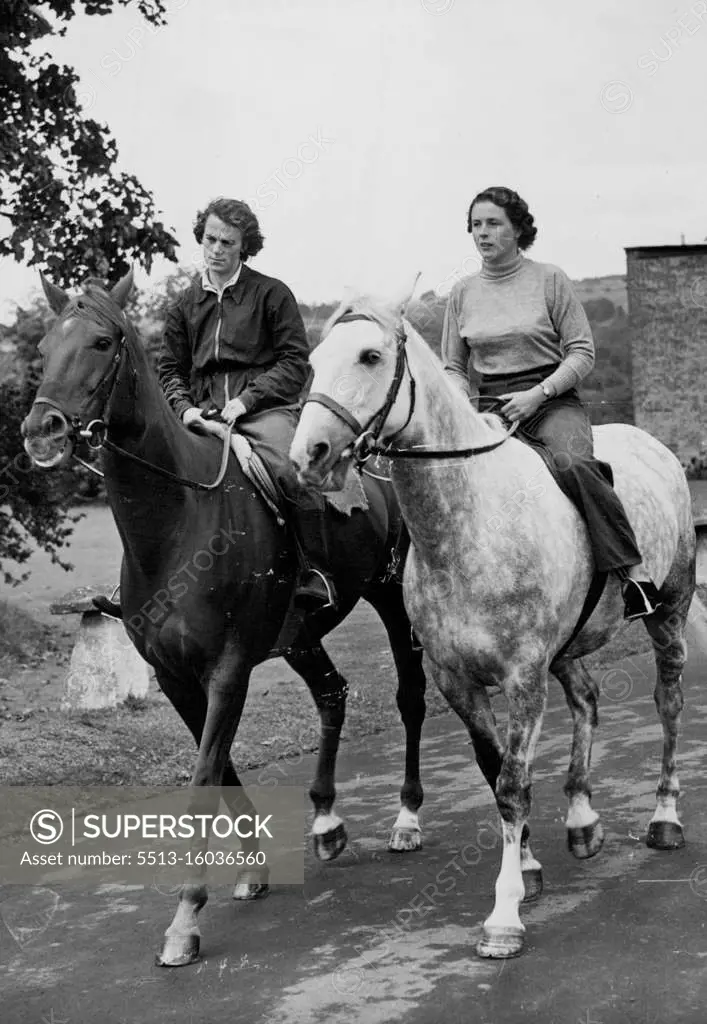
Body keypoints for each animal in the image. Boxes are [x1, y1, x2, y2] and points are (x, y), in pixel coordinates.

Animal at [22, 268, 426, 962]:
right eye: (46, 347)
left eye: (102, 342)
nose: (40, 430)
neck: (178, 523)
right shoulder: (179, 679)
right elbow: (224, 770)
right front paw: (252, 872)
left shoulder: (228, 670)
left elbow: (205, 776)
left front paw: (185, 919)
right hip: (303, 637)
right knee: (333, 694)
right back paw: (326, 820)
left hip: (393, 599)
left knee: (410, 696)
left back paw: (406, 818)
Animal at [288, 294, 696, 958]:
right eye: (314, 362)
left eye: (370, 355)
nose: (310, 456)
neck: (469, 523)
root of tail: (653, 445)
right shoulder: (455, 679)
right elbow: (491, 767)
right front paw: (527, 866)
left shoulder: (523, 676)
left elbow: (512, 783)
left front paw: (504, 916)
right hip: (569, 650)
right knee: (587, 699)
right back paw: (582, 820)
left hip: (670, 614)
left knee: (668, 703)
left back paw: (664, 818)